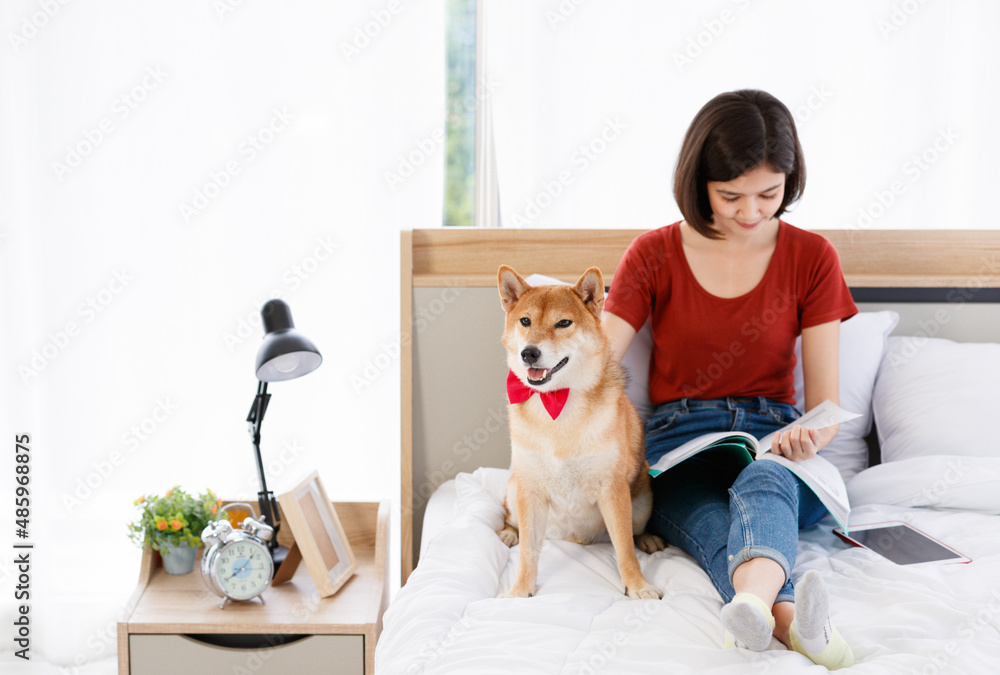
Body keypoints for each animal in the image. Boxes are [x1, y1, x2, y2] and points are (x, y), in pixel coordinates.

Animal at [494, 266, 664, 600]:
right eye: (525, 321)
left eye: (563, 323)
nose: (529, 353)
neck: (557, 403)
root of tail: (574, 539)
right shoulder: (530, 491)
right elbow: (528, 554)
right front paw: (520, 591)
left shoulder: (612, 490)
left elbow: (625, 548)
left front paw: (637, 586)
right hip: (514, 488)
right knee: (509, 517)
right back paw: (508, 533)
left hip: (643, 499)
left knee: (635, 532)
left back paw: (648, 539)